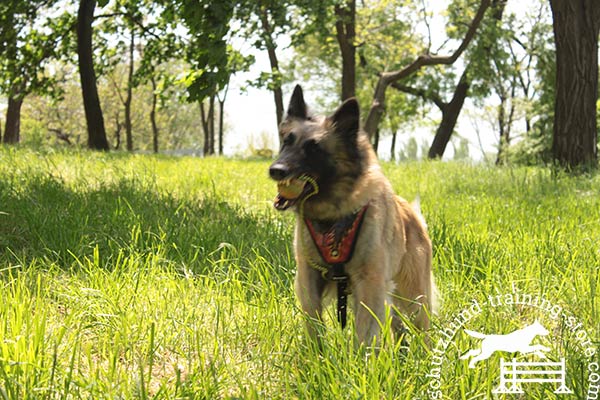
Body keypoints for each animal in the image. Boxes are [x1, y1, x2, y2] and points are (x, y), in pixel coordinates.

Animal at [270, 84, 434, 344]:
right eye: (287, 142)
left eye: (314, 149)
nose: (276, 170)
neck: (333, 217)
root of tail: (414, 216)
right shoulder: (309, 278)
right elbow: (313, 324)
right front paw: (316, 352)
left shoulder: (369, 282)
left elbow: (365, 332)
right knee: (398, 327)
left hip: (414, 296)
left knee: (422, 328)